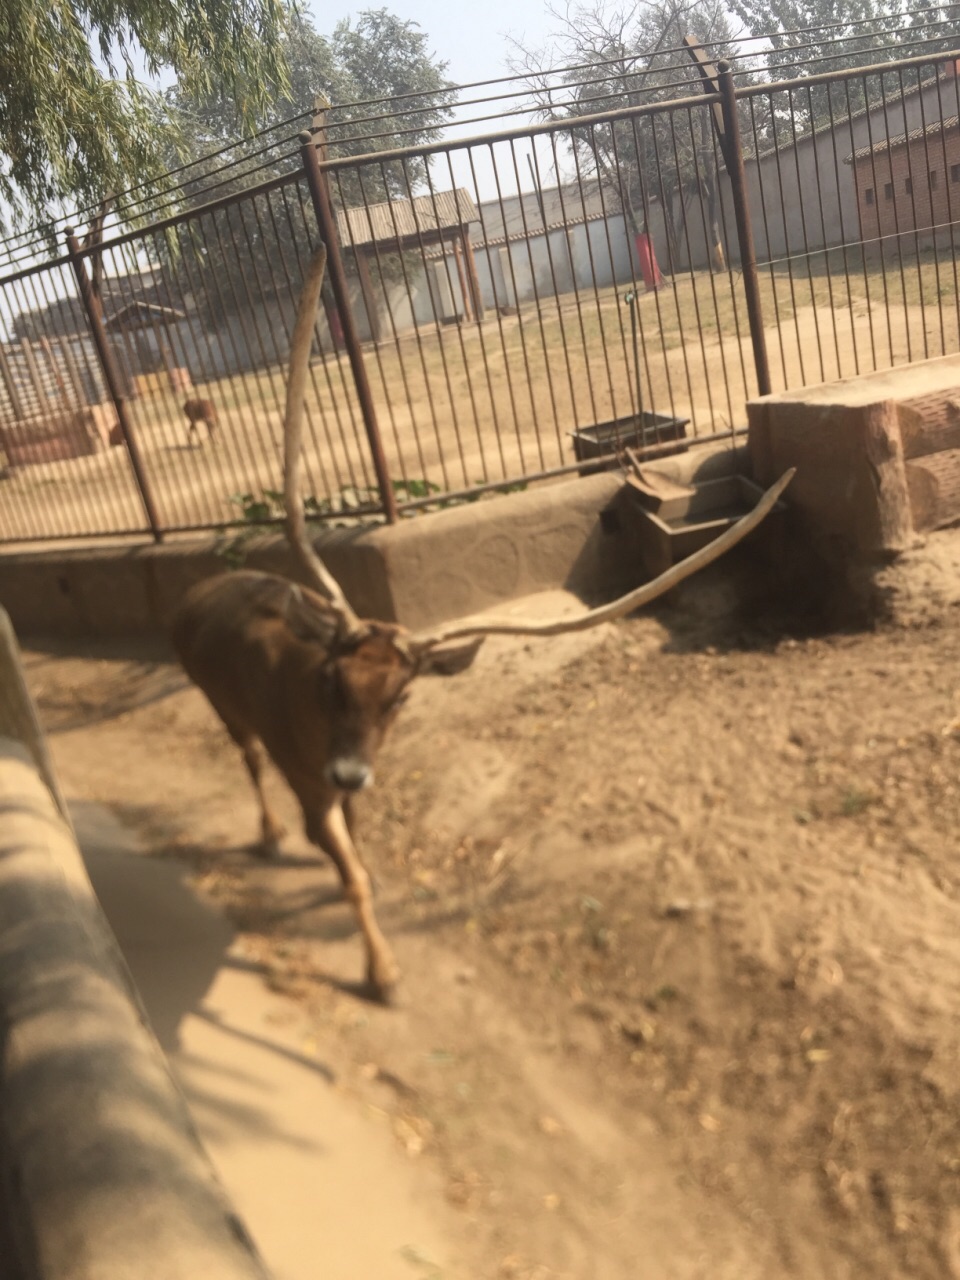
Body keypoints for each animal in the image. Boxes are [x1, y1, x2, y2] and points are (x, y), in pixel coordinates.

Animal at [172, 241, 798, 998]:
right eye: (331, 681)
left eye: (402, 697)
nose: (349, 771)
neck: (312, 719)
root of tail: (191, 602)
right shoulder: (308, 772)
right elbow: (347, 871)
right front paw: (382, 972)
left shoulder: (340, 779)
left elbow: (356, 854)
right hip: (222, 706)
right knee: (248, 756)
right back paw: (266, 834)